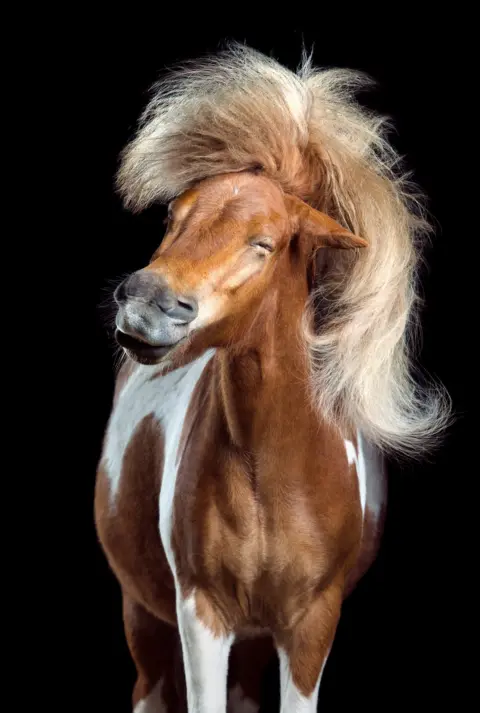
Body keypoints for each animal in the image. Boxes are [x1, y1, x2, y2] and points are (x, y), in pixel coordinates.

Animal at [95, 45, 449, 712]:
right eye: (175, 216)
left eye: (263, 243)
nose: (145, 306)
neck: (270, 475)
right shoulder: (201, 615)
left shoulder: (310, 627)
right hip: (141, 613)